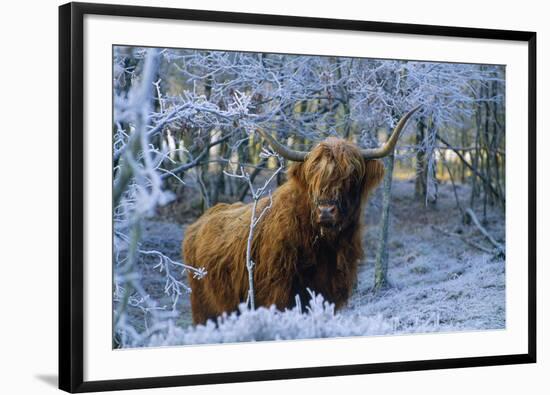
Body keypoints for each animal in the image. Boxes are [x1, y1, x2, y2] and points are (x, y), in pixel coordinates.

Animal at [183, 106, 420, 324]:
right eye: (313, 176)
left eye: (351, 177)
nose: (326, 211)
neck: (324, 248)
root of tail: (198, 222)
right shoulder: (277, 295)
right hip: (205, 310)